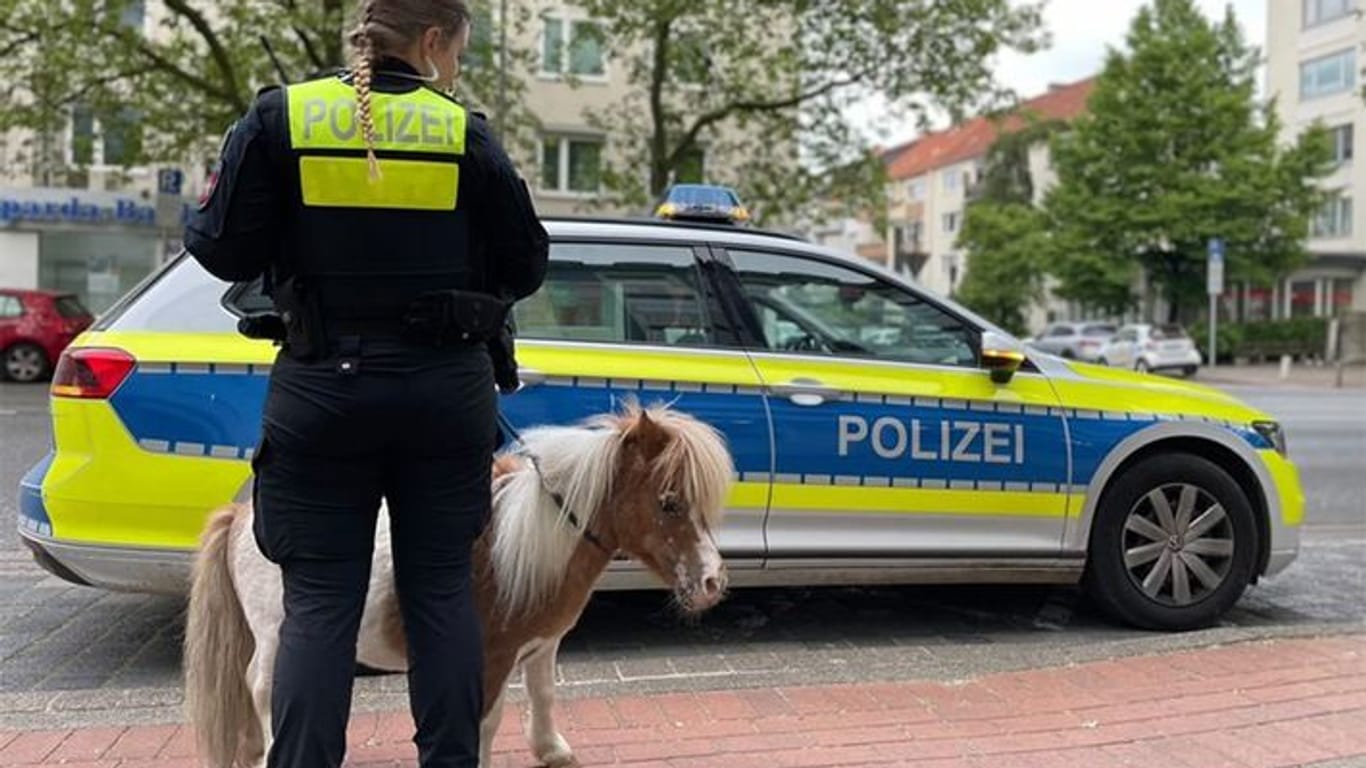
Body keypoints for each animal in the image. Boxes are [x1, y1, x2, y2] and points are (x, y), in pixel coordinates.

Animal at [185, 404, 737, 759]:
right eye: (669, 502)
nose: (713, 581)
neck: (526, 543)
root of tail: (240, 518)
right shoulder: (492, 656)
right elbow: (488, 721)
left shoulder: (543, 644)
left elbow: (543, 693)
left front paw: (551, 749)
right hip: (275, 633)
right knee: (262, 688)